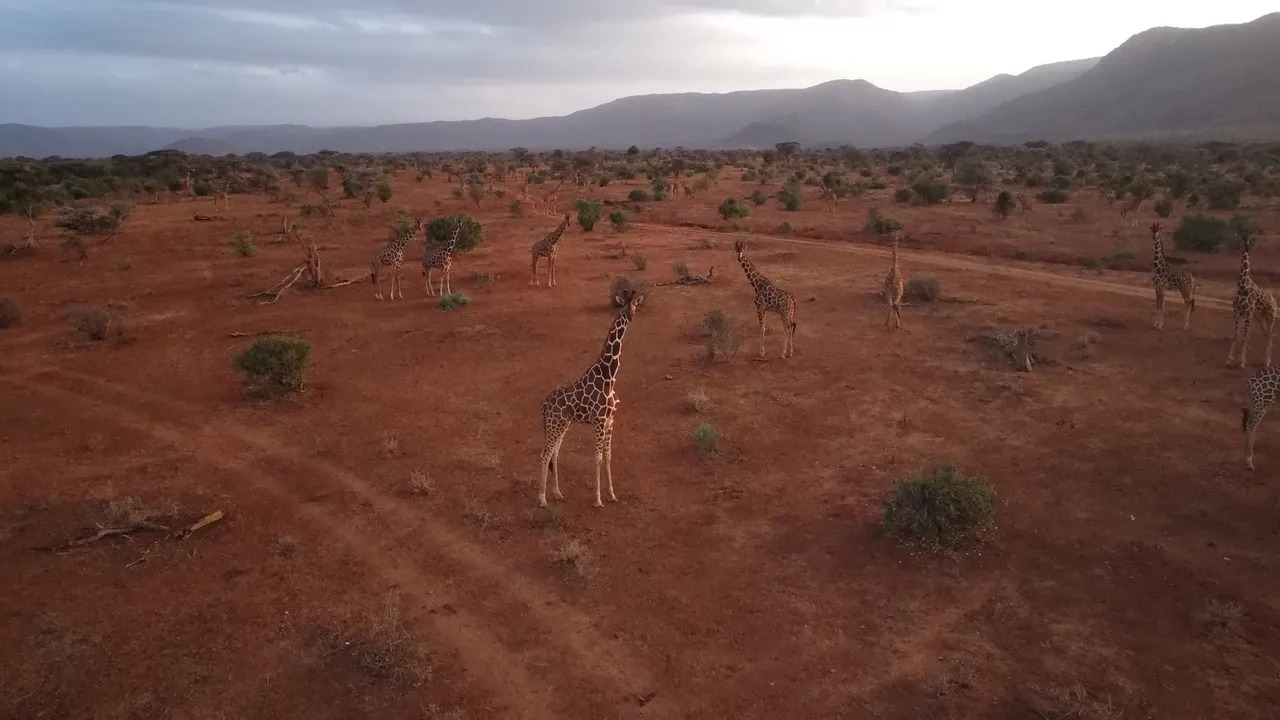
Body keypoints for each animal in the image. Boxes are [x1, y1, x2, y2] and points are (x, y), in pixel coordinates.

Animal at [537, 288, 645, 508]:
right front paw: (598, 499)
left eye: (635, 305)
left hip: (562, 425)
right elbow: (597, 457)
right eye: (624, 306)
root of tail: (544, 405)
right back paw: (542, 498)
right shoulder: (600, 420)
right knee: (545, 454)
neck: (609, 376)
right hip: (554, 424)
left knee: (555, 454)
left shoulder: (611, 420)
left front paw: (612, 494)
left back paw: (557, 493)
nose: (631, 316)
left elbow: (608, 456)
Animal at [1225, 229, 1277, 368]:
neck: (1243, 286)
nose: (1246, 248)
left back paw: (1267, 362)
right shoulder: (1236, 311)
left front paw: (1242, 362)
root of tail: (1274, 301)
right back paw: (1263, 361)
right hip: (1260, 316)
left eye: (1249, 240)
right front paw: (1229, 360)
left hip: (1271, 315)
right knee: (1265, 333)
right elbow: (1236, 336)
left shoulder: (1248, 313)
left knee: (1270, 334)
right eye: (1240, 239)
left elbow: (1245, 337)